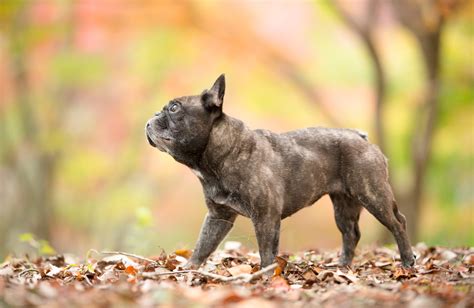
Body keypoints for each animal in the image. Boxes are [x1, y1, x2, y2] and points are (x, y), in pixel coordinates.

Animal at [145, 74, 414, 270]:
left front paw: (265, 275)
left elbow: (266, 251)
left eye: (174, 108)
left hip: (372, 194)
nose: (151, 117)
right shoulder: (217, 217)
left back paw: (407, 261)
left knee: (398, 222)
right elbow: (203, 244)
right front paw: (189, 269)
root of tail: (360, 136)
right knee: (351, 233)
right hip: (344, 206)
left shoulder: (265, 216)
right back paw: (342, 267)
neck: (219, 156)